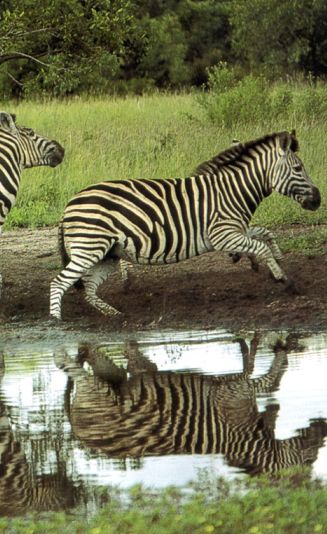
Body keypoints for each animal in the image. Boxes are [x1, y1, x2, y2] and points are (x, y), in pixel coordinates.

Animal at [50, 131, 320, 320]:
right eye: (298, 168)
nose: (318, 200)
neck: (232, 191)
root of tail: (68, 205)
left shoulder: (234, 229)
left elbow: (264, 234)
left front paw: (269, 258)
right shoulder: (222, 233)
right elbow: (260, 245)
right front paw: (283, 278)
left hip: (108, 254)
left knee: (89, 290)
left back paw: (115, 315)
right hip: (90, 249)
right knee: (59, 283)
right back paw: (57, 324)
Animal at [56, 338, 327, 476]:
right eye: (309, 460)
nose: (322, 425)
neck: (248, 440)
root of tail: (79, 434)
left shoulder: (235, 391)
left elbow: (268, 382)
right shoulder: (234, 392)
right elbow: (270, 380)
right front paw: (282, 345)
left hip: (112, 379)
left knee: (92, 356)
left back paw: (82, 350)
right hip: (97, 391)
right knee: (73, 369)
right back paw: (66, 357)